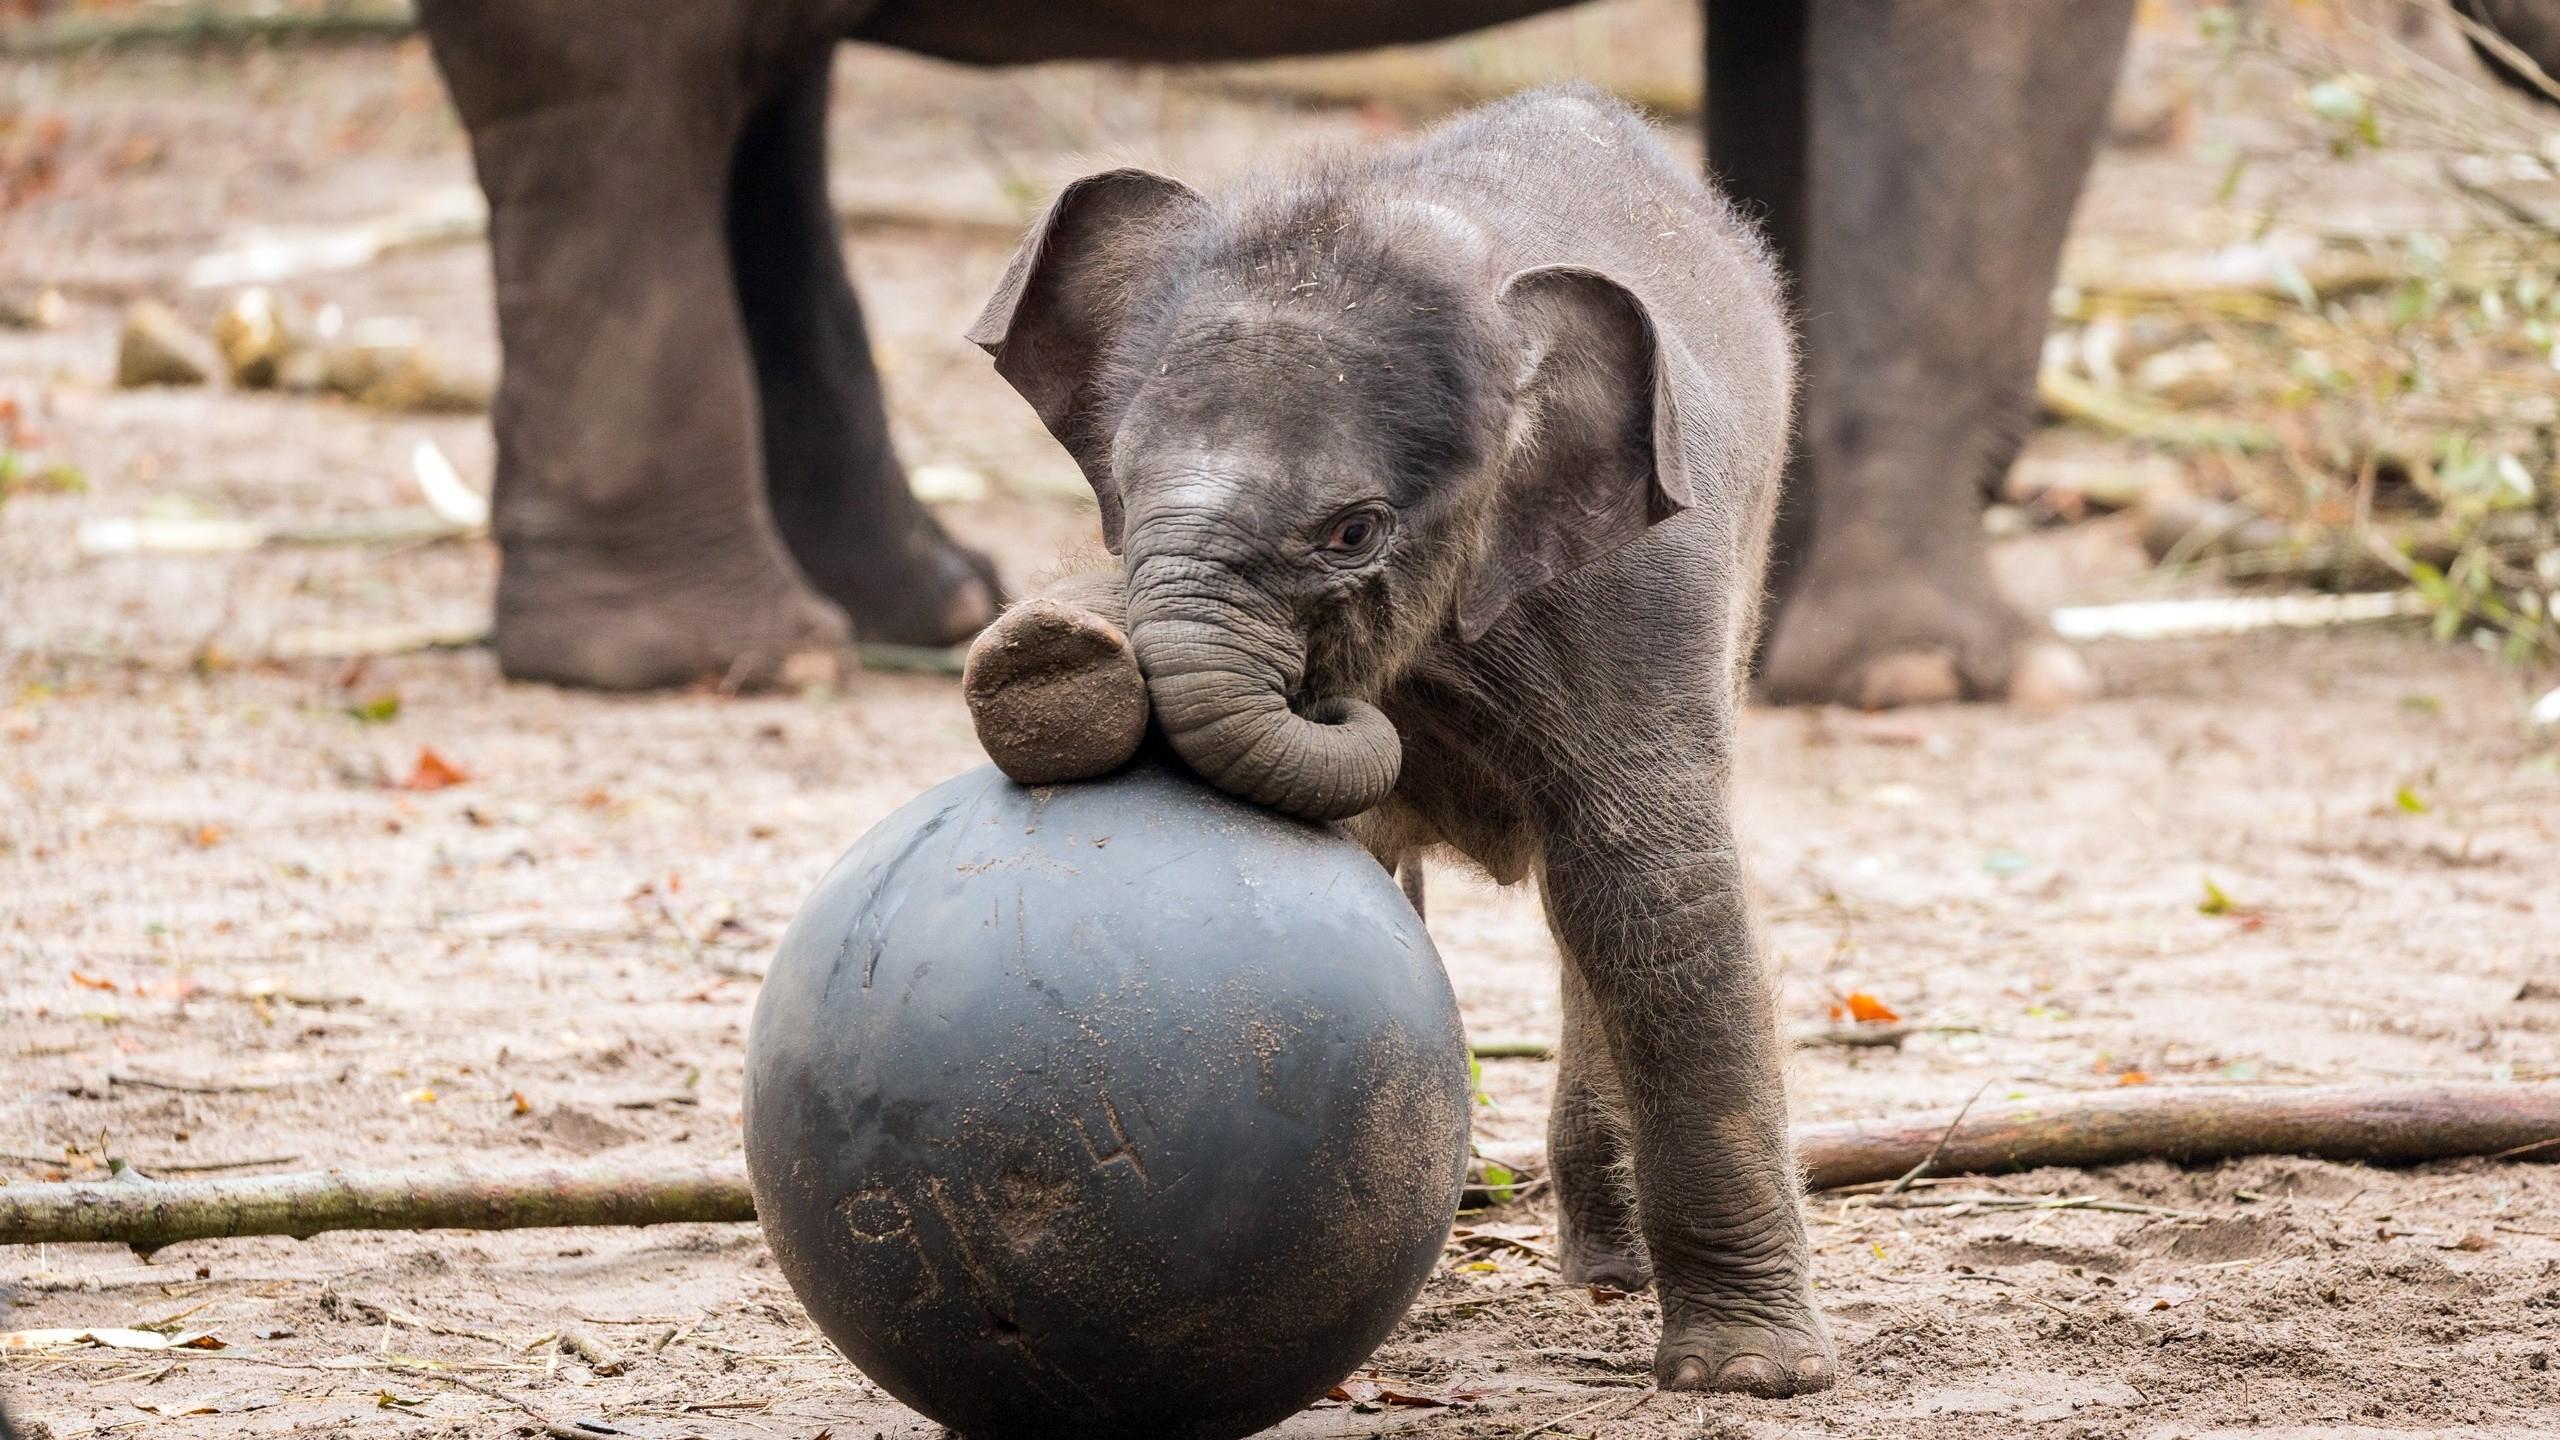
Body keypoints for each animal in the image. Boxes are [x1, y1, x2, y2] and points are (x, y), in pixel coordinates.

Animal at [958, 87, 1825, 1395]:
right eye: (1119, 478)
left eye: (1352, 532)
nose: (1057, 640)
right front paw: (1048, 668)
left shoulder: (1643, 588)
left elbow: (1654, 892)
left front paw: (1749, 1380)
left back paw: (1611, 1278)